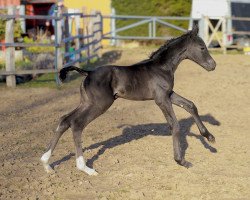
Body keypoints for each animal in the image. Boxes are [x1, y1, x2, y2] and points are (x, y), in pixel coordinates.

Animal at [41, 25, 217, 175]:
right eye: (202, 47)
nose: (213, 65)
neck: (162, 67)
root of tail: (88, 72)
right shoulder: (161, 99)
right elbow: (175, 125)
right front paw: (181, 161)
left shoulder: (169, 94)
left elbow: (190, 105)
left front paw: (209, 138)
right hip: (100, 104)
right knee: (77, 124)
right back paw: (84, 168)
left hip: (86, 102)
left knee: (65, 120)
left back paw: (46, 162)